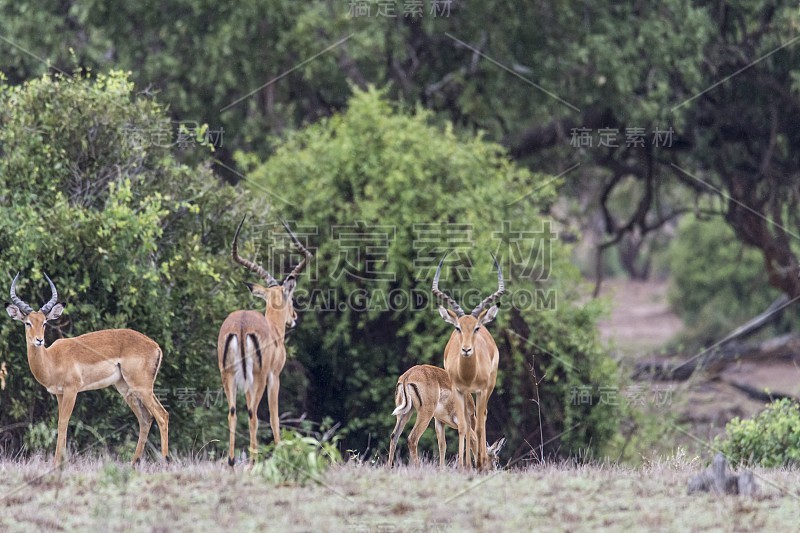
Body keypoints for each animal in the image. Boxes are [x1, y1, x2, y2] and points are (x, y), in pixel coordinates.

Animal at [4, 272, 169, 464]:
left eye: (44, 322)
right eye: (27, 323)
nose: (39, 340)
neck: (52, 360)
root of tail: (155, 346)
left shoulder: (72, 390)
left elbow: (63, 422)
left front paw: (57, 463)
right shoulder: (59, 394)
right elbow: (62, 423)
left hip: (142, 387)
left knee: (162, 415)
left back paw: (164, 460)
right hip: (126, 389)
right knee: (146, 419)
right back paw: (134, 463)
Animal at [219, 216, 312, 466]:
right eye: (290, 297)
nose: (294, 317)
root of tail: (241, 326)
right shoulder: (274, 376)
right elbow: (273, 416)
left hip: (228, 375)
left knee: (232, 411)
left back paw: (232, 461)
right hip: (258, 377)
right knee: (252, 413)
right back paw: (253, 461)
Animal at [434, 254, 504, 470]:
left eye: (476, 328)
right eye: (458, 327)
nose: (466, 349)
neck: (468, 375)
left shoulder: (481, 390)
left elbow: (479, 427)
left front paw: (480, 463)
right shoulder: (458, 390)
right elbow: (463, 426)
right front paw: (463, 466)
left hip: (488, 388)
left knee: (482, 418)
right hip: (466, 395)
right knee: (468, 421)